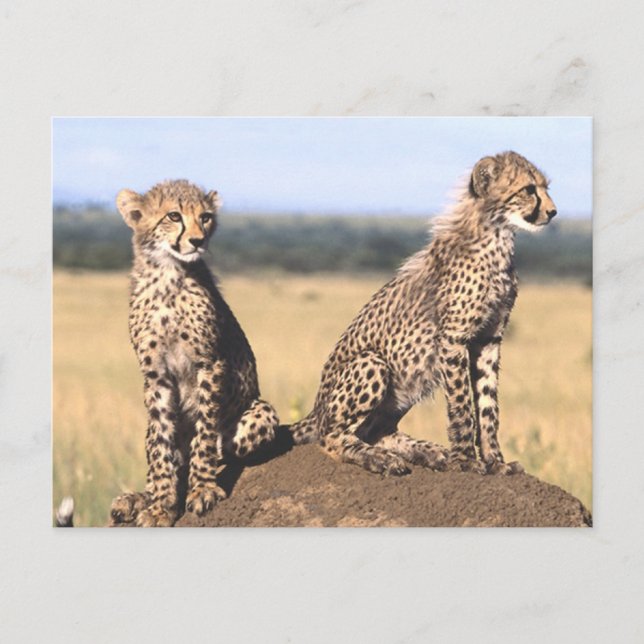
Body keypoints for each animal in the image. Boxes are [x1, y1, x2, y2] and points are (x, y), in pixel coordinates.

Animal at [110, 180, 279, 527]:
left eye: (206, 217)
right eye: (174, 215)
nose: (198, 240)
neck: (167, 276)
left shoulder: (209, 364)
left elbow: (205, 432)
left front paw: (201, 490)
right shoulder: (156, 377)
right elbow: (162, 450)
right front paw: (161, 506)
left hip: (260, 412)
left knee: (221, 449)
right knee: (163, 459)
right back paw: (135, 500)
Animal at [288, 151, 557, 477]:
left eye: (545, 187)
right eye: (529, 189)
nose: (553, 212)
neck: (496, 235)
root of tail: (315, 409)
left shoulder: (489, 339)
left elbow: (487, 403)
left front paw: (496, 461)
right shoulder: (453, 338)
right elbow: (462, 404)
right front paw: (466, 460)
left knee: (375, 431)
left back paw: (428, 452)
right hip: (373, 362)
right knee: (331, 437)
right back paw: (382, 459)